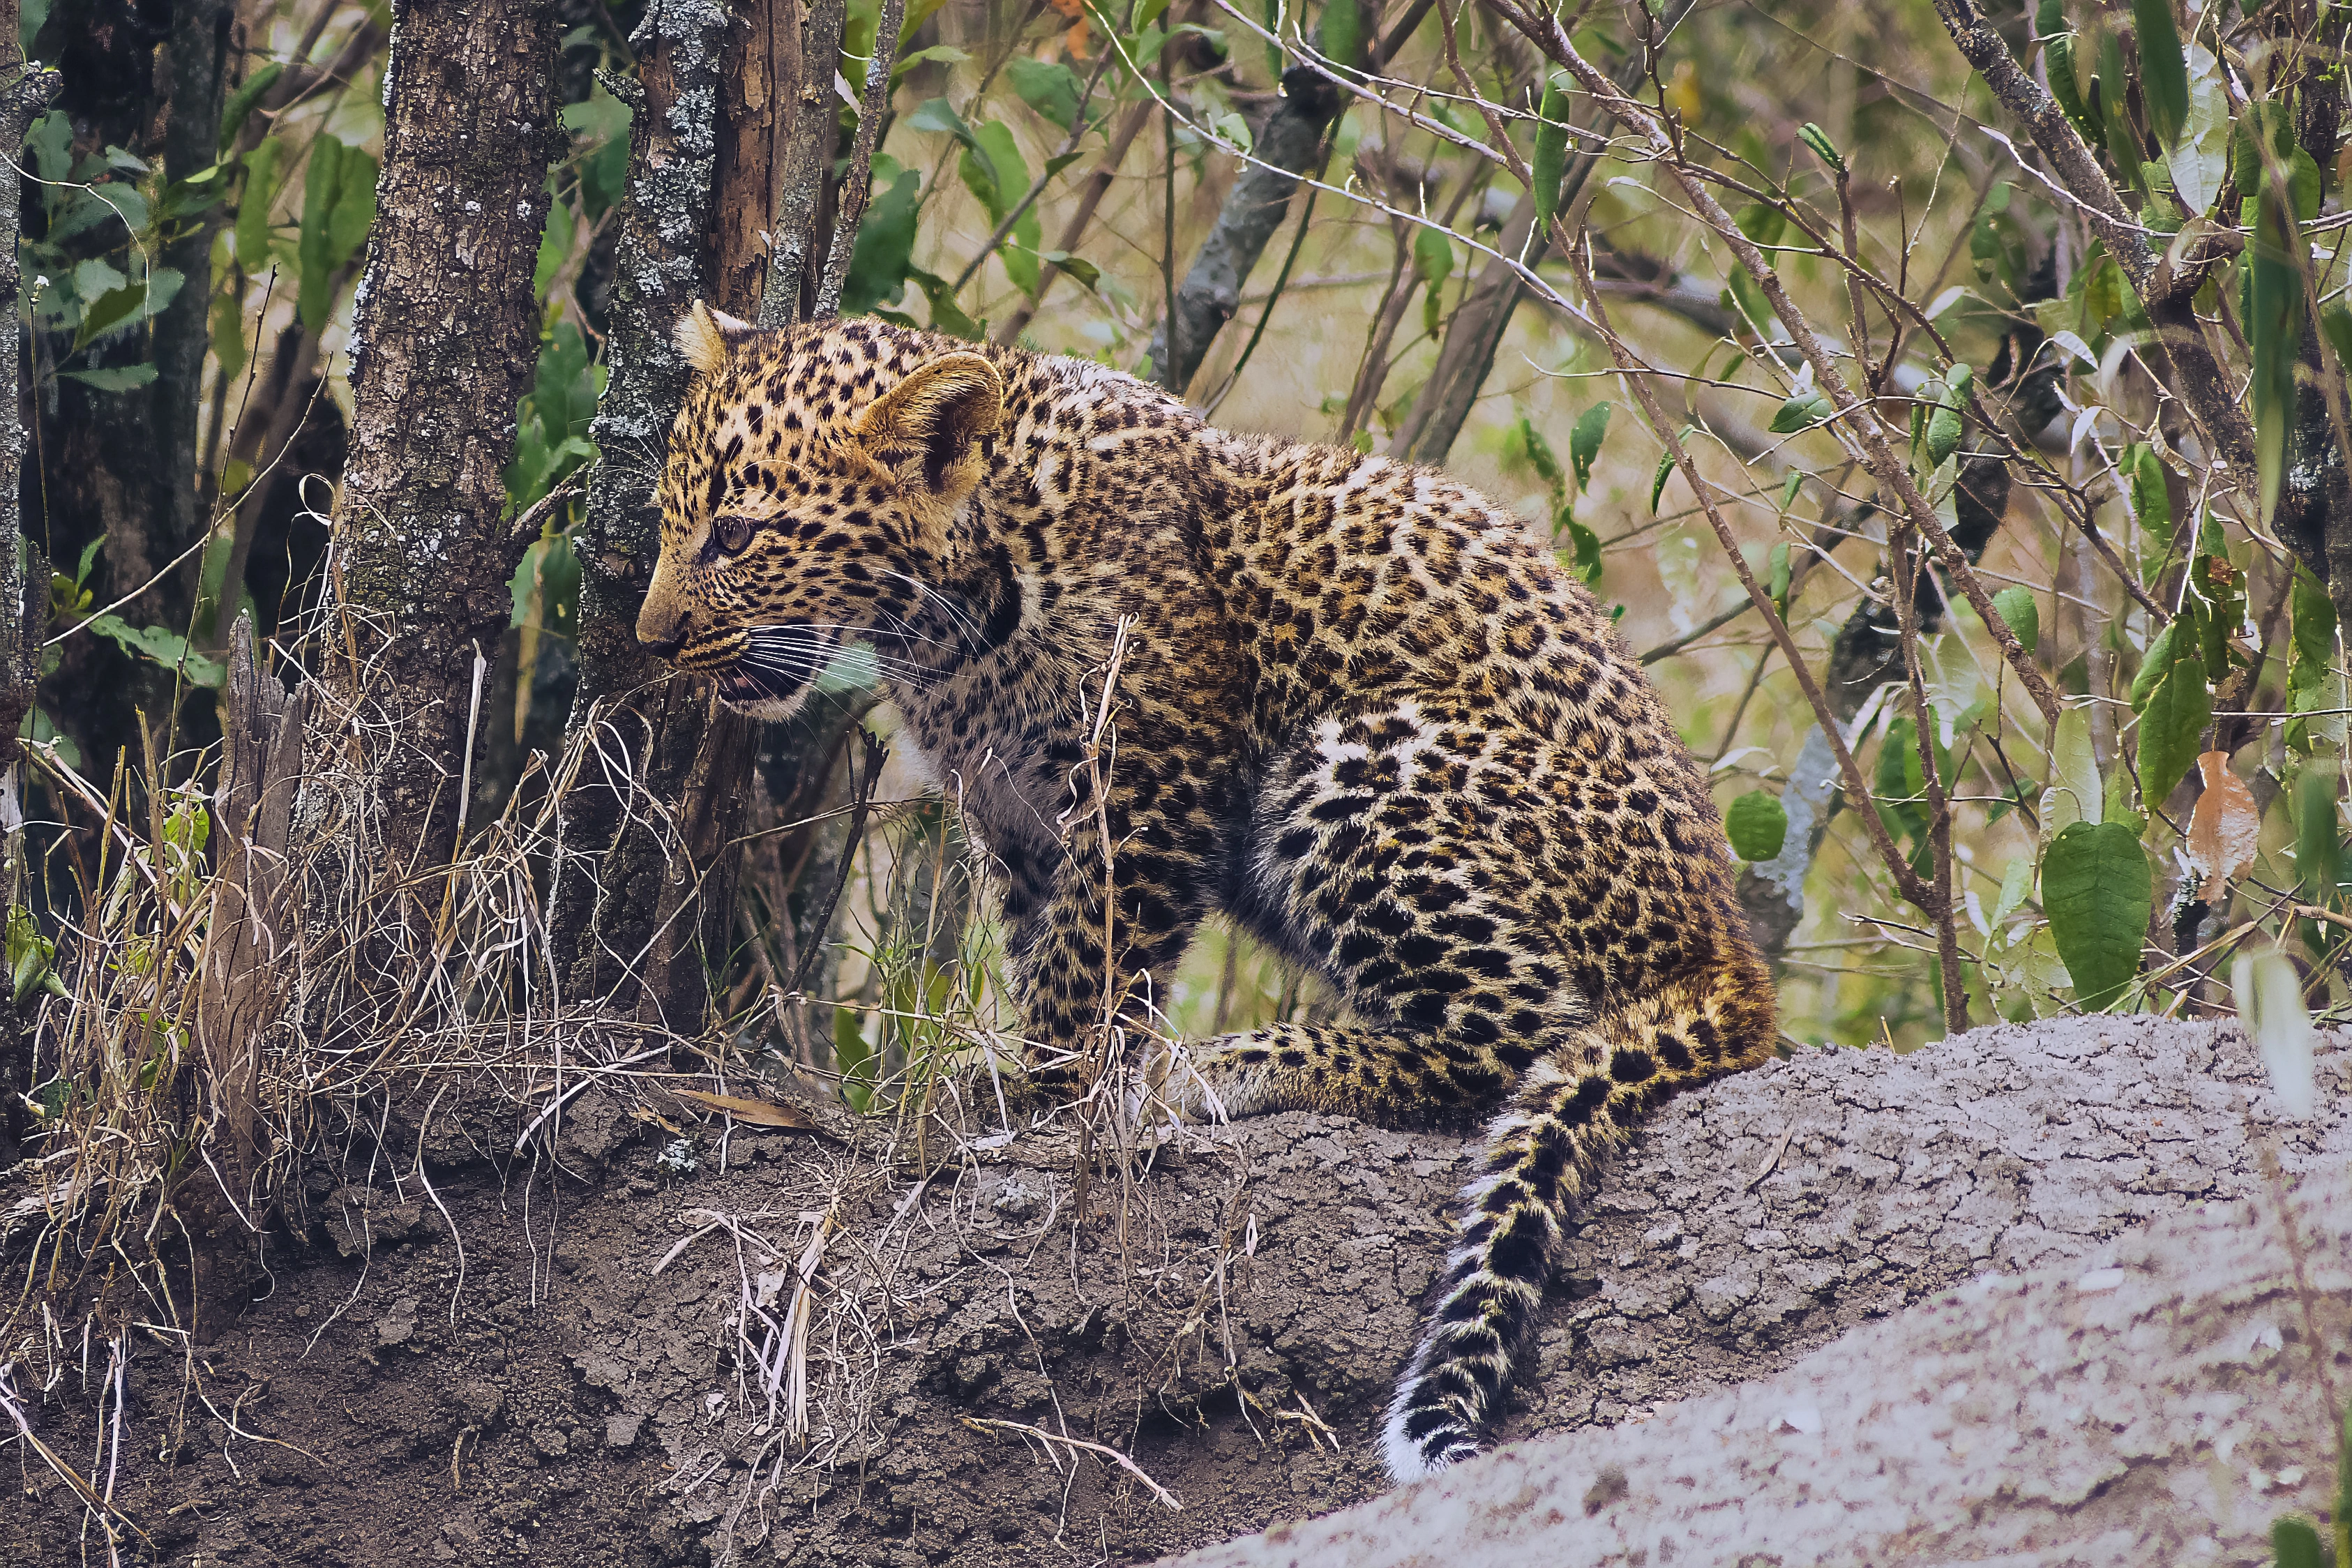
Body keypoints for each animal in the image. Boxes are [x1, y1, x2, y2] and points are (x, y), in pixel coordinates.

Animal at [636, 303, 1779, 1482]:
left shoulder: (1148, 789)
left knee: (1518, 1031)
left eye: (737, 537)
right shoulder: (1017, 819)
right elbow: (1045, 956)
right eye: (671, 521)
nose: (649, 640)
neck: (949, 624)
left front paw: (1041, 1104)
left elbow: (1083, 974)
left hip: (1358, 757)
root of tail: (1723, 944)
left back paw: (1225, 1068)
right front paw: (1025, 1088)